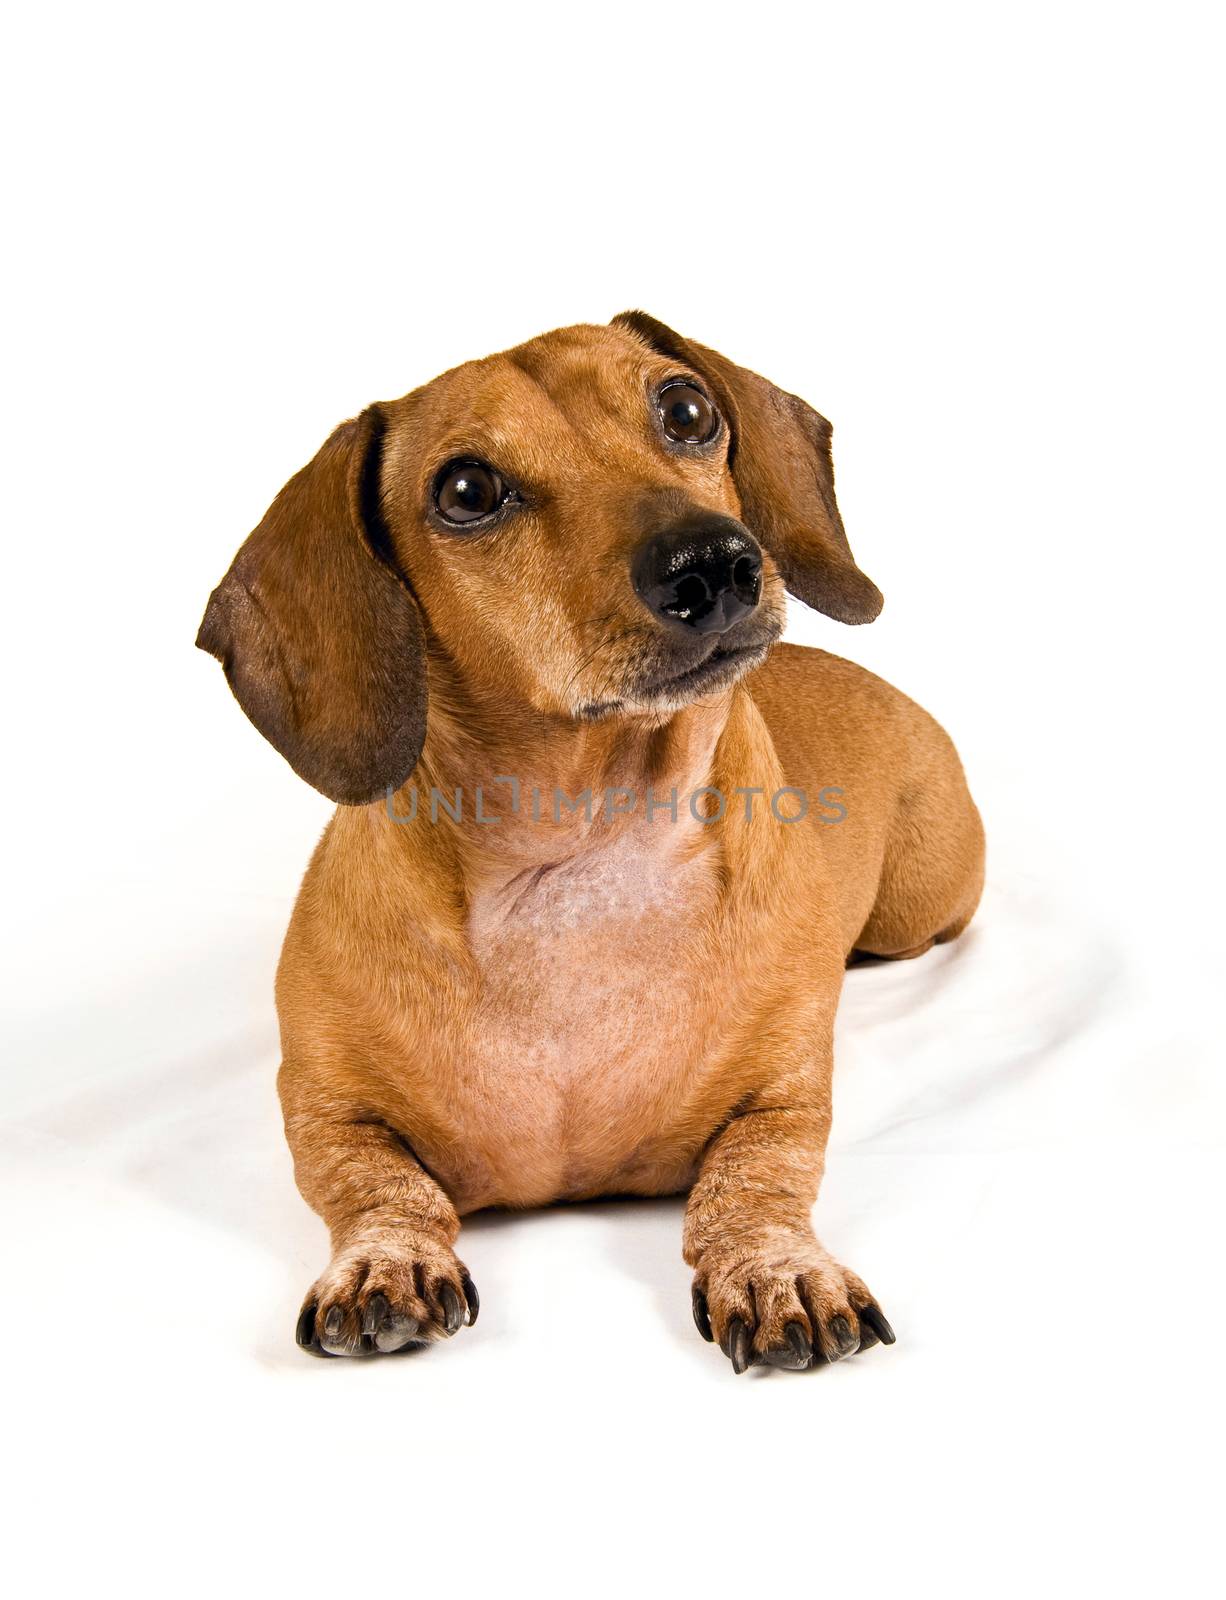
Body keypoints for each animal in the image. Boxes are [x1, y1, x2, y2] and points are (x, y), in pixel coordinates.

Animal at [201, 315, 985, 1376]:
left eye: (685, 408)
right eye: (466, 491)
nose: (714, 563)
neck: (584, 865)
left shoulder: (785, 1097)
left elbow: (757, 1178)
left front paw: (775, 1267)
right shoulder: (322, 1106)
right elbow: (376, 1184)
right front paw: (387, 1258)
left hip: (919, 912)